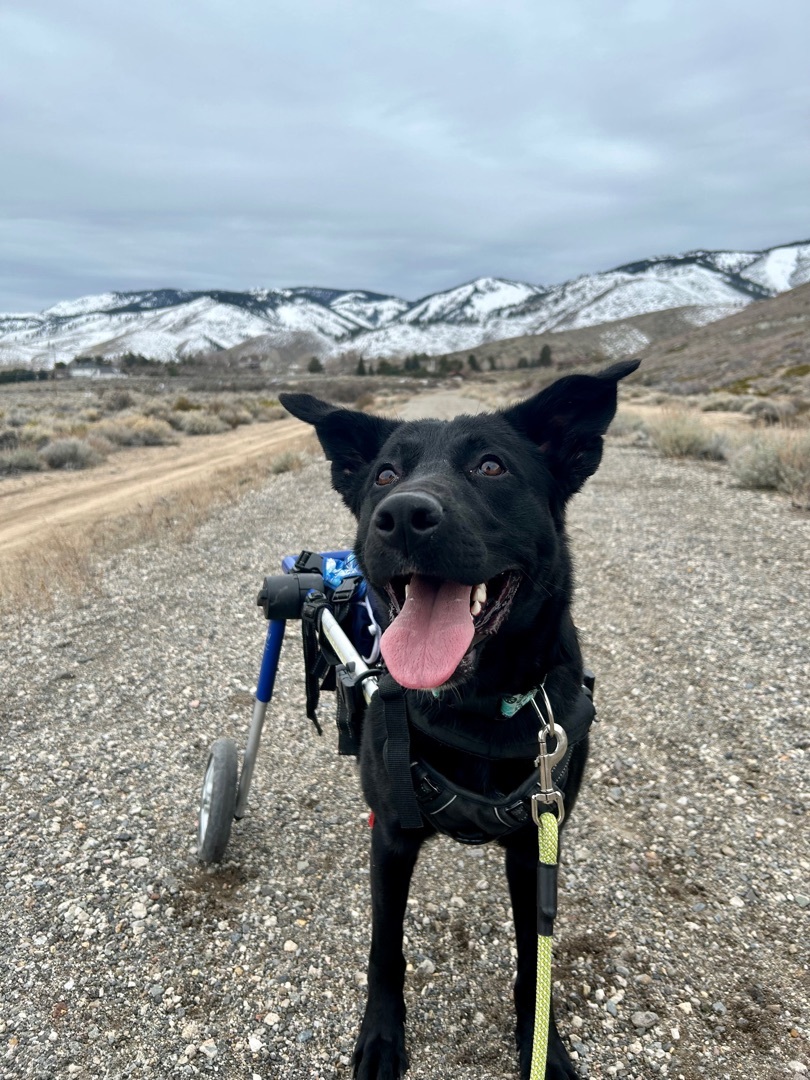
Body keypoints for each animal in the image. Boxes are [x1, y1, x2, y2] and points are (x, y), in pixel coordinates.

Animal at [278, 358, 639, 1075]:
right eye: (385, 474)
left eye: (492, 466)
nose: (403, 515)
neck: (474, 707)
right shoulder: (391, 837)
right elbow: (385, 949)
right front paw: (381, 1036)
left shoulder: (535, 844)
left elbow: (535, 960)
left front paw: (543, 1046)